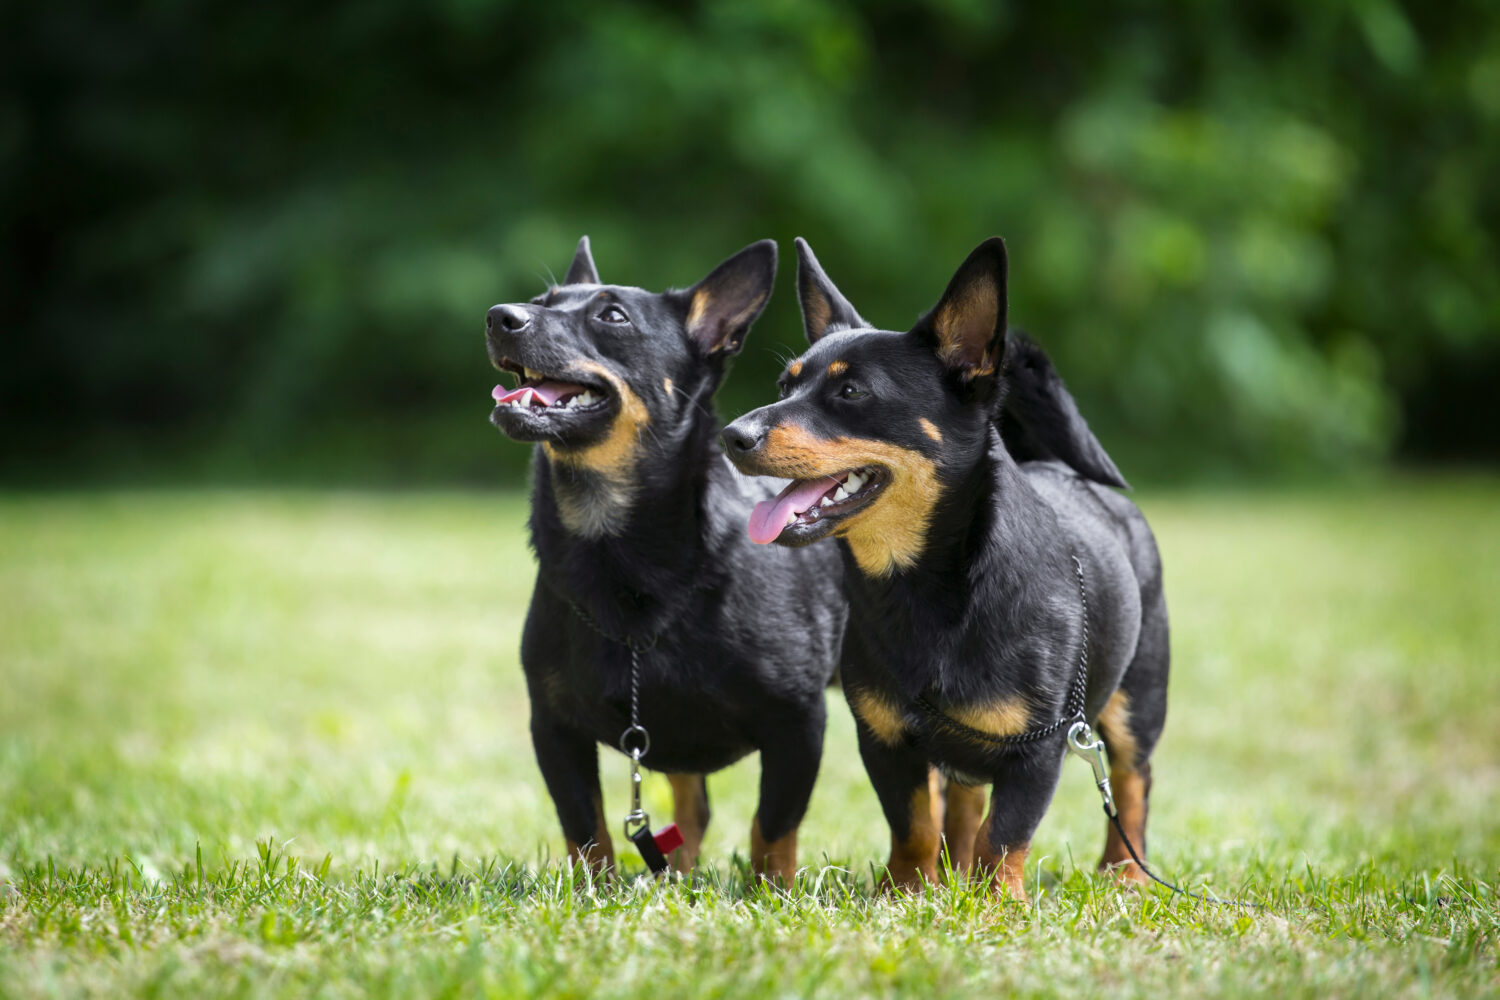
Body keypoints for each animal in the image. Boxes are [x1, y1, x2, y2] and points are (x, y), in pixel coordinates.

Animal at [489, 238, 846, 881]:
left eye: (612, 316)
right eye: (541, 300)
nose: (500, 317)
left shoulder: (798, 724)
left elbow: (772, 830)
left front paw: (771, 892)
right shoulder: (553, 728)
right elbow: (587, 830)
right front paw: (596, 891)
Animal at [720, 236, 1164, 899]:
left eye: (852, 393)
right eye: (784, 384)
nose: (732, 434)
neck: (923, 589)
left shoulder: (1039, 751)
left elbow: (1004, 839)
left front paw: (997, 905)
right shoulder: (886, 740)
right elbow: (913, 826)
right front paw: (905, 892)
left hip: (1137, 701)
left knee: (1133, 782)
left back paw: (1125, 873)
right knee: (961, 802)